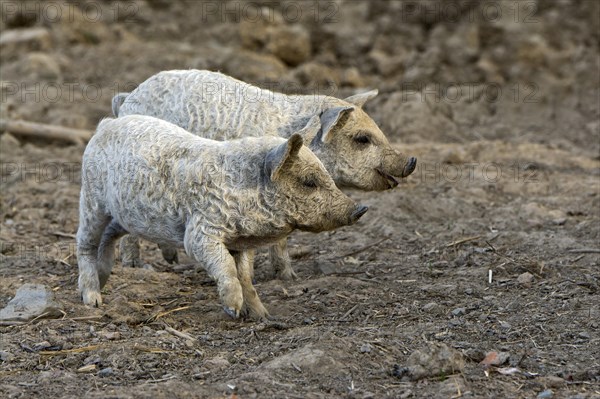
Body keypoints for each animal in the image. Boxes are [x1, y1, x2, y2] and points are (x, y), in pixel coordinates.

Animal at [75, 115, 366, 318]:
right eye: (308, 182)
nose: (359, 209)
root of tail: (105, 125)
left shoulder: (241, 243)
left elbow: (245, 276)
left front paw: (262, 316)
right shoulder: (200, 234)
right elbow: (225, 267)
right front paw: (234, 310)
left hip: (124, 215)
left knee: (109, 236)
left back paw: (103, 279)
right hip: (91, 200)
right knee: (84, 242)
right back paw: (93, 300)